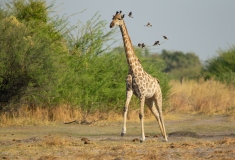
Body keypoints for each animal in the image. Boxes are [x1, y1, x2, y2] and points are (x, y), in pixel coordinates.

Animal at [109, 11, 167, 142]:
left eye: (119, 18)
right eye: (112, 18)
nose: (111, 25)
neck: (132, 68)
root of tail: (158, 82)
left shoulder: (141, 93)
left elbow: (140, 114)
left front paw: (142, 138)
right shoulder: (129, 90)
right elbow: (125, 108)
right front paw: (123, 132)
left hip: (157, 96)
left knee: (161, 113)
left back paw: (166, 137)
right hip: (149, 101)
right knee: (156, 114)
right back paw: (163, 135)